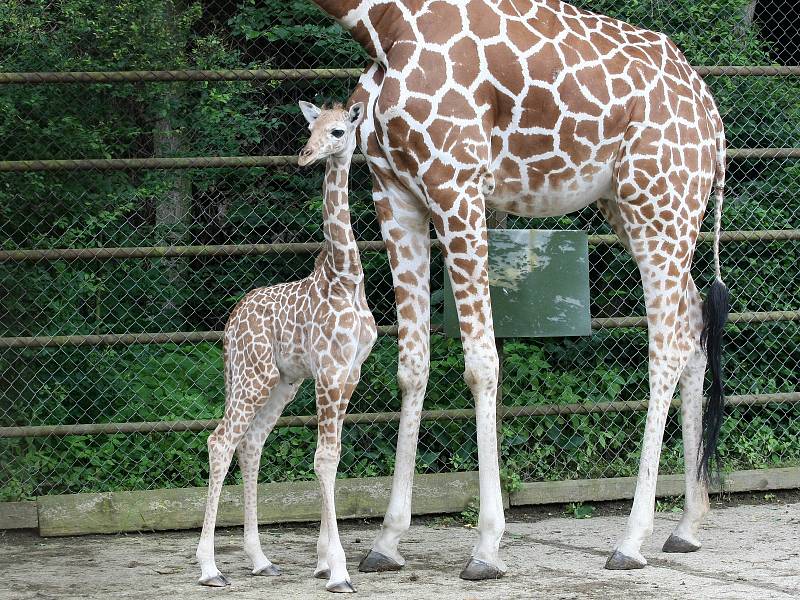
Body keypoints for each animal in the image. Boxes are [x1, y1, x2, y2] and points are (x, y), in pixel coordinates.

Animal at [198, 101, 376, 592]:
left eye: (338, 131)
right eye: (309, 129)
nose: (305, 155)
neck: (346, 279)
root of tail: (230, 323)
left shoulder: (349, 373)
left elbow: (332, 456)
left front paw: (323, 561)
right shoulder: (329, 371)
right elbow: (324, 459)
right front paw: (338, 571)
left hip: (281, 382)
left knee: (251, 442)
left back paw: (260, 560)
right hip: (253, 375)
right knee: (221, 440)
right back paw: (209, 568)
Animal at [308, 0, 732, 576]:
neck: (385, 26)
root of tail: (713, 119)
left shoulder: (456, 183)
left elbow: (481, 363)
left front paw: (487, 547)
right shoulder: (394, 192)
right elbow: (411, 367)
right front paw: (387, 540)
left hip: (660, 202)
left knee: (666, 345)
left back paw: (630, 540)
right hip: (632, 207)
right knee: (692, 324)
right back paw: (687, 525)